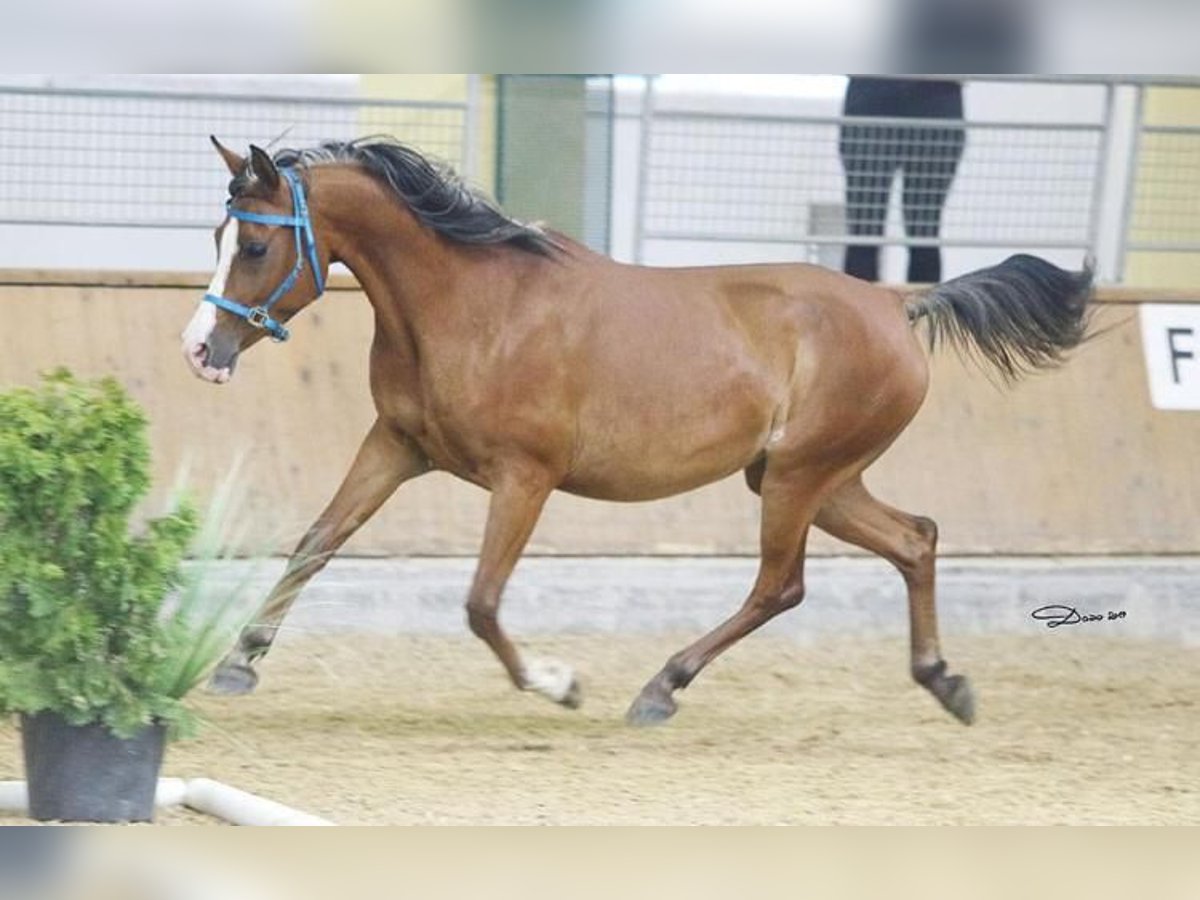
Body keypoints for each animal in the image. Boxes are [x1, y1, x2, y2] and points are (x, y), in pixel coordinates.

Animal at [182, 137, 1094, 729]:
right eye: (218, 236)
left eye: (255, 245)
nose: (200, 350)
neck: (471, 306)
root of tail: (895, 304)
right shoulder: (398, 445)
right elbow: (317, 540)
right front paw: (238, 662)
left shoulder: (525, 476)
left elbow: (480, 602)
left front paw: (559, 683)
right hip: (816, 480)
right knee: (915, 539)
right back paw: (945, 682)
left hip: (800, 477)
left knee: (782, 585)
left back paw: (661, 688)